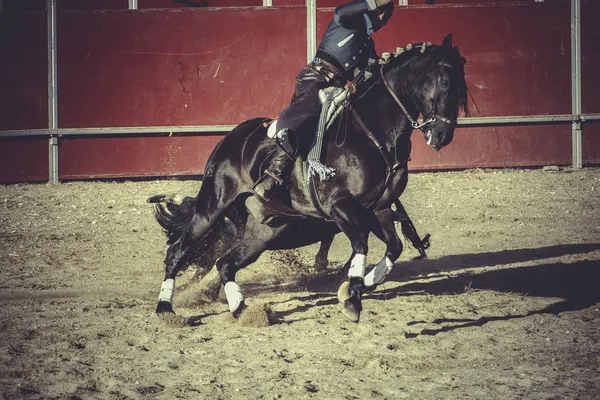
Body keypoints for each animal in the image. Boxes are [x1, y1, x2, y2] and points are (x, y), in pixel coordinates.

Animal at [151, 33, 468, 322]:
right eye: (445, 82)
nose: (443, 134)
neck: (374, 133)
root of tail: (229, 140)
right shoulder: (340, 207)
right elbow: (361, 244)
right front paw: (351, 295)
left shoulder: (379, 209)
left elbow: (394, 247)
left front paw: (361, 283)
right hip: (212, 206)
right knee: (178, 251)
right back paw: (166, 308)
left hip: (266, 231)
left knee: (225, 263)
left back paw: (242, 310)